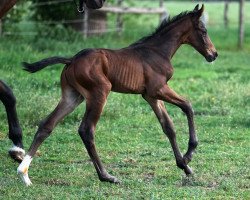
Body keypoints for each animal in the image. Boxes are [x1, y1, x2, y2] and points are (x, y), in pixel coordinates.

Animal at [17, 5, 217, 186]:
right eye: (203, 31)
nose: (213, 54)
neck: (157, 51)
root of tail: (71, 60)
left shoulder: (150, 96)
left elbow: (168, 127)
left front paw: (184, 166)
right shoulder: (159, 89)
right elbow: (188, 106)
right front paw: (189, 154)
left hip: (72, 97)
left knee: (47, 125)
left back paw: (24, 173)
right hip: (99, 93)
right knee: (86, 130)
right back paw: (106, 176)